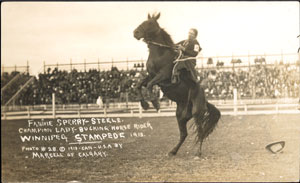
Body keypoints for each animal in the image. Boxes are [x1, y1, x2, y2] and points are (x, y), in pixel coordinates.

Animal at [134, 12, 220, 157]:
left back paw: (198, 153)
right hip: (180, 116)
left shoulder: (162, 76)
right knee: (184, 134)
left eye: (150, 23)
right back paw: (173, 151)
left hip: (197, 113)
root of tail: (205, 100)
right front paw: (144, 104)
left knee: (200, 131)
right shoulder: (151, 75)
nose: (136, 32)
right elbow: (139, 85)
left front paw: (155, 103)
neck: (160, 54)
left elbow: (150, 85)